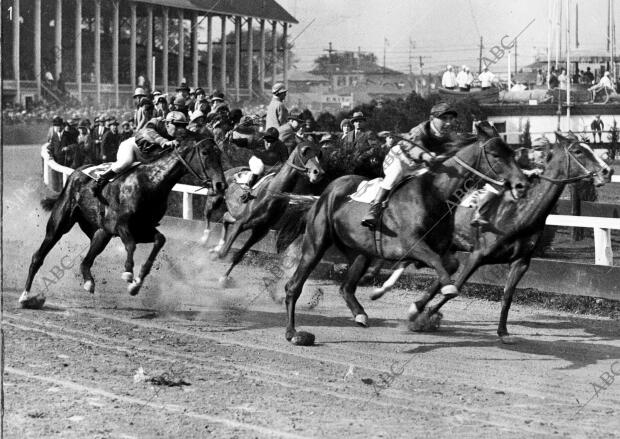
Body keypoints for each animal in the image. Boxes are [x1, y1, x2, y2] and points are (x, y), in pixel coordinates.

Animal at [18, 137, 228, 310]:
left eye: (219, 153)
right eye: (205, 153)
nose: (220, 185)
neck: (150, 183)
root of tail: (76, 172)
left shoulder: (142, 229)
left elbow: (159, 240)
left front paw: (136, 283)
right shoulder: (121, 226)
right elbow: (131, 245)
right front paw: (128, 273)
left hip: (100, 232)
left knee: (86, 260)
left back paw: (88, 281)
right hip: (59, 224)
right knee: (38, 256)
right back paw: (26, 297)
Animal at [209, 142, 324, 286]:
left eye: (319, 154)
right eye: (304, 152)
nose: (318, 173)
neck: (270, 194)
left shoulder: (259, 232)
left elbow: (238, 256)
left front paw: (224, 277)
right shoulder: (241, 224)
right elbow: (224, 252)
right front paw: (215, 257)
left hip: (235, 215)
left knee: (225, 217)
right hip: (216, 200)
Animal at [280, 123, 528, 344]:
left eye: (512, 153)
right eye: (495, 155)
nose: (522, 184)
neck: (435, 194)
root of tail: (328, 190)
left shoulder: (438, 250)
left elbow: (449, 266)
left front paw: (417, 308)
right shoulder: (411, 245)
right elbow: (437, 265)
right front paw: (444, 291)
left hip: (360, 251)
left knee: (346, 287)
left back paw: (360, 314)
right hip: (316, 243)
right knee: (294, 286)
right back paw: (293, 333)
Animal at [410, 134, 608, 344]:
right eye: (578, 151)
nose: (607, 170)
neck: (517, 214)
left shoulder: (521, 262)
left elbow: (507, 296)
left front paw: (503, 331)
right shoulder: (477, 255)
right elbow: (455, 288)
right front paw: (423, 319)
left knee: (443, 273)